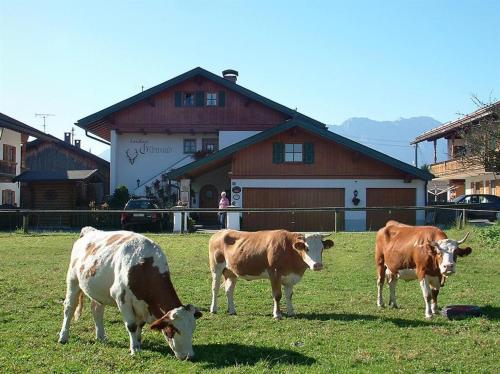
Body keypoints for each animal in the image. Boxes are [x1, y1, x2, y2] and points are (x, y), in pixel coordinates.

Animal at [60, 226, 203, 360]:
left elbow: (140, 325)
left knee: (97, 311)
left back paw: (101, 337)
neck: (143, 267)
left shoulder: (142, 306)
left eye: (193, 329)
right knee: (69, 308)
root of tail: (90, 231)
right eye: (174, 330)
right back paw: (63, 336)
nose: (189, 356)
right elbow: (132, 326)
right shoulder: (122, 298)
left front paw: (138, 345)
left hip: (98, 291)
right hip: (73, 280)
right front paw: (134, 349)